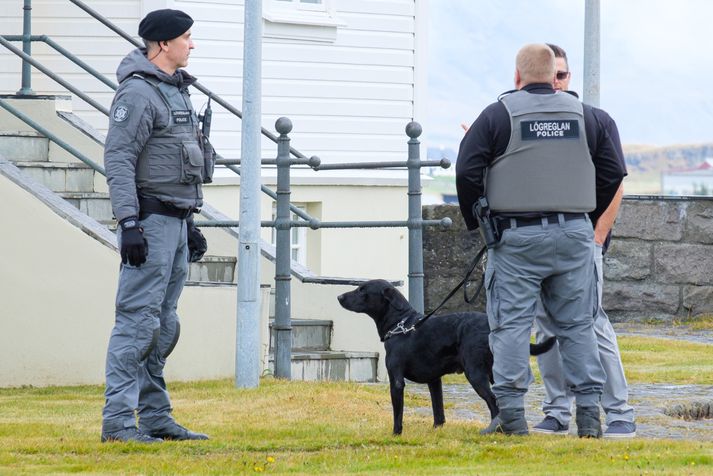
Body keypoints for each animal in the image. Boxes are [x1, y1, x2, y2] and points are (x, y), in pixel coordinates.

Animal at [336, 278, 552, 436]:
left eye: (362, 290)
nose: (339, 296)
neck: (400, 323)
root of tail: (491, 328)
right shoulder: (434, 380)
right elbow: (438, 411)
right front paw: (436, 431)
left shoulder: (396, 380)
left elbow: (398, 413)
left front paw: (396, 434)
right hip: (493, 372)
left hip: (475, 374)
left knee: (494, 403)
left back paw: (495, 429)